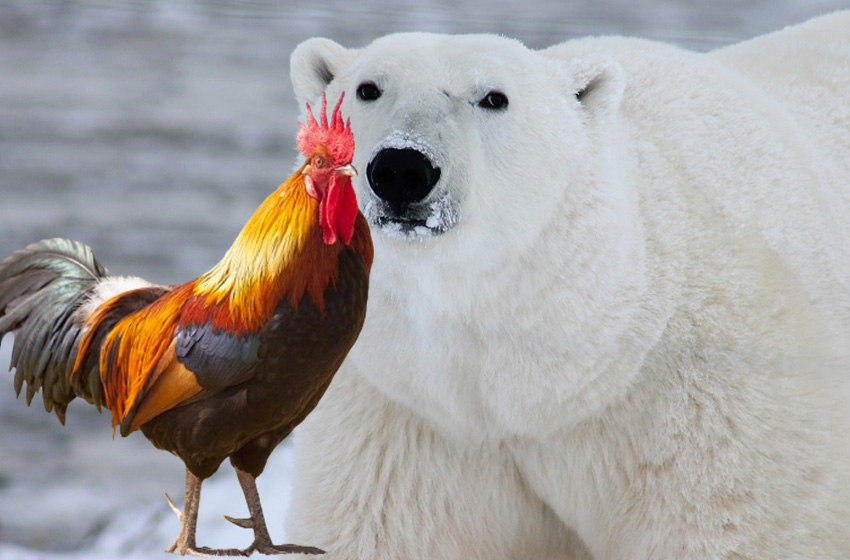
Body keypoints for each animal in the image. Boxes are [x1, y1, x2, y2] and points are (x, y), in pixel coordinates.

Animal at [284, 13, 848, 560]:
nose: (402, 167)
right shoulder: (404, 415)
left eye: (494, 97)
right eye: (368, 89)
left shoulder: (710, 408)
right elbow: (383, 530)